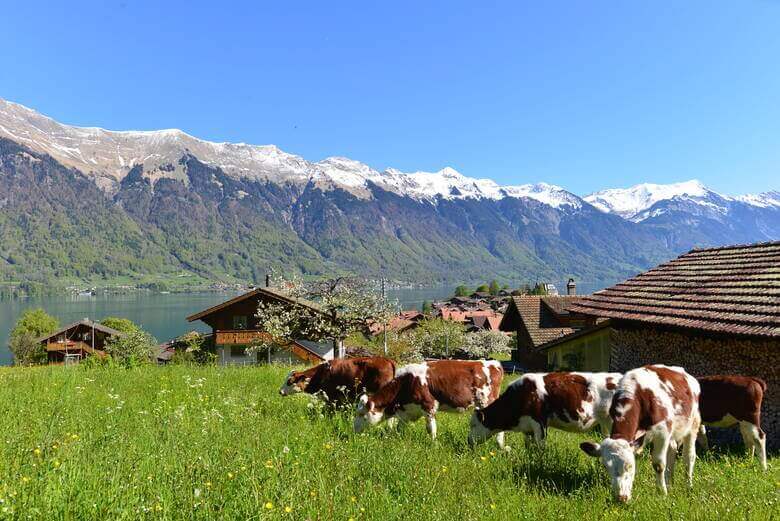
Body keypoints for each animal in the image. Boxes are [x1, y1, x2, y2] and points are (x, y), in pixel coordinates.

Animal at [354, 360, 506, 440]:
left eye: (361, 414)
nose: (354, 429)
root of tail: (493, 363)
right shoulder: (407, 410)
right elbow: (399, 427)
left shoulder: (428, 405)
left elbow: (430, 428)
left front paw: (434, 444)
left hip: (488, 401)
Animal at [470, 370, 620, 446]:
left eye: (473, 425)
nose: (468, 441)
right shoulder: (528, 427)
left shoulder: (539, 422)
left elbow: (540, 447)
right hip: (605, 423)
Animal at [580, 364, 700, 502]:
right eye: (606, 466)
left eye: (630, 465)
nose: (621, 498)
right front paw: (665, 488)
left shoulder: (663, 432)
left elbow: (658, 464)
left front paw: (662, 492)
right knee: (673, 449)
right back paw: (670, 483)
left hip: (693, 423)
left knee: (689, 456)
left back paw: (688, 486)